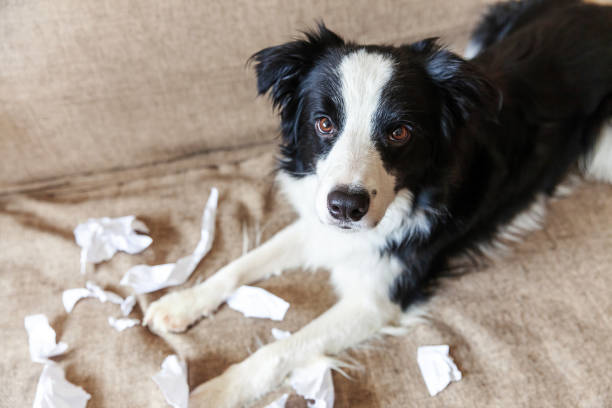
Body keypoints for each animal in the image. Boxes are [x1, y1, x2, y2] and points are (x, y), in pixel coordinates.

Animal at [147, 0, 612, 404]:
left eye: (399, 132)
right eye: (324, 123)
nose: (346, 207)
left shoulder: (377, 299)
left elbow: (281, 350)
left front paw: (213, 392)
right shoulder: (320, 221)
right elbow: (240, 264)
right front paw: (179, 303)